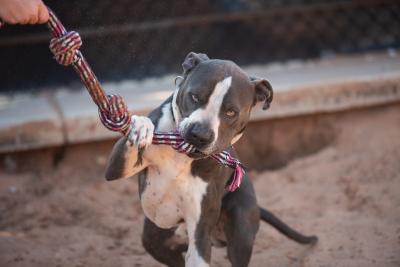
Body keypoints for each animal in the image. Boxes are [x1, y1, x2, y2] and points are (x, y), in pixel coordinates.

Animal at [104, 52, 318, 267]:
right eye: (194, 96)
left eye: (231, 112)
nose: (200, 134)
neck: (181, 156)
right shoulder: (117, 167)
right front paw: (141, 125)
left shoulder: (200, 235)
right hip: (155, 238)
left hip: (240, 232)